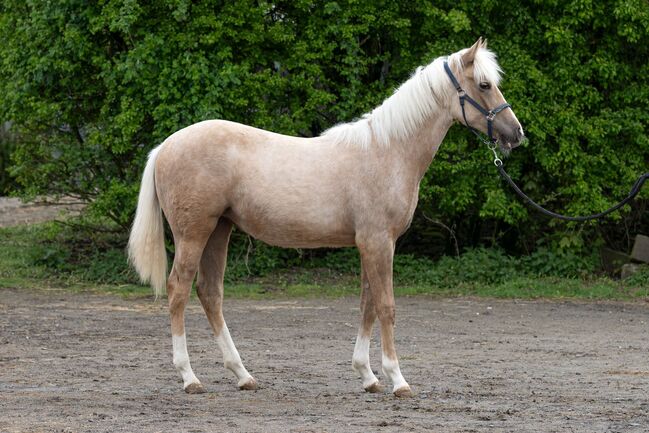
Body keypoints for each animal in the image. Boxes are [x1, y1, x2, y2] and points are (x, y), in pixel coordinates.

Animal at [127, 38, 524, 397]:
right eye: (484, 84)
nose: (516, 134)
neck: (388, 151)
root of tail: (165, 146)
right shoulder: (378, 242)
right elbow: (386, 306)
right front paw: (398, 380)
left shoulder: (371, 244)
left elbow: (367, 304)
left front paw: (368, 376)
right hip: (193, 234)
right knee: (179, 290)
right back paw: (189, 377)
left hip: (219, 231)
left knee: (210, 293)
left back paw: (243, 375)